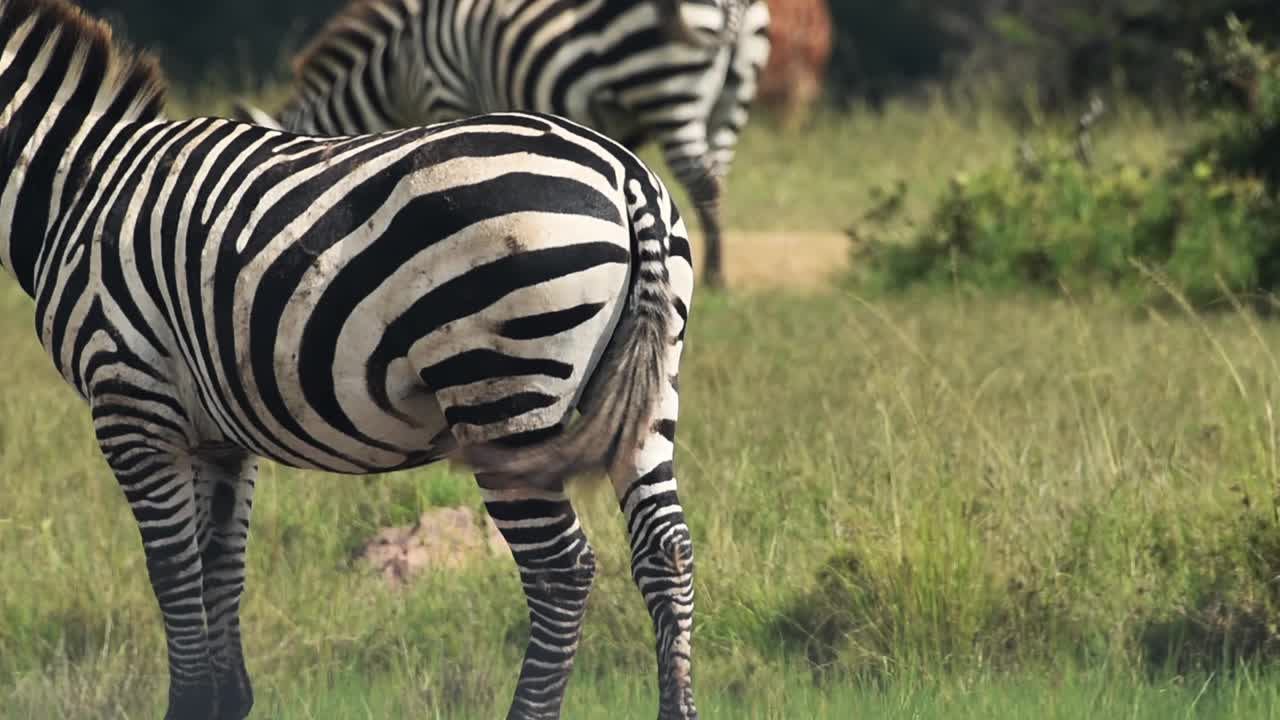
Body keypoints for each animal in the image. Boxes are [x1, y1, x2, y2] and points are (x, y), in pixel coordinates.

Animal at [0, 1, 701, 717]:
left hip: (500, 391)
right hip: (650, 386)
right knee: (665, 550)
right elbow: (219, 566)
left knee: (561, 572)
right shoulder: (217, 433)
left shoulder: (131, 402)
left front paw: (193, 701)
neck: (76, 190)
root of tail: (625, 174)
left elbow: (173, 572)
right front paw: (230, 698)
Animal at [231, 1, 768, 289]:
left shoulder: (445, 91)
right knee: (716, 180)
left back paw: (716, 279)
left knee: (702, 181)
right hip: (733, 96)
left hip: (665, 86)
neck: (397, 66)